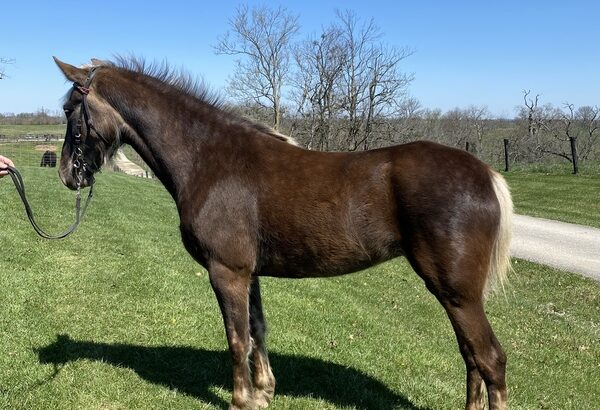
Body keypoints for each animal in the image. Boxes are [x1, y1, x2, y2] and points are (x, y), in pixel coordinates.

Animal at [52, 57, 510, 410]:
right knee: (472, 359)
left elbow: (237, 338)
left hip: (457, 293)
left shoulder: (227, 272)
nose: (67, 174)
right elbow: (257, 330)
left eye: (71, 109)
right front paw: (263, 392)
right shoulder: (248, 273)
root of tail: (486, 174)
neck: (208, 159)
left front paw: (240, 400)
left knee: (489, 359)